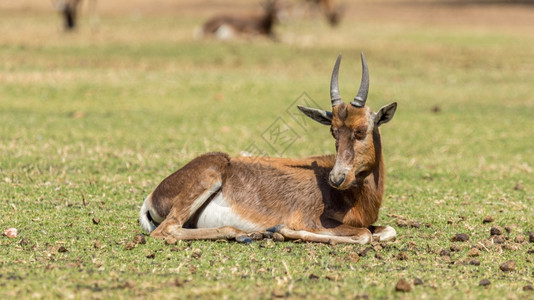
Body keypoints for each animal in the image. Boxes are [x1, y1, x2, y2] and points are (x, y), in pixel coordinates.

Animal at [140, 54, 400, 245]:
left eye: (361, 130)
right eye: (333, 131)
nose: (337, 178)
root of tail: (152, 197)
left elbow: (387, 230)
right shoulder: (315, 221)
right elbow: (364, 235)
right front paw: (280, 230)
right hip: (209, 176)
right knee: (166, 230)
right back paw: (246, 234)